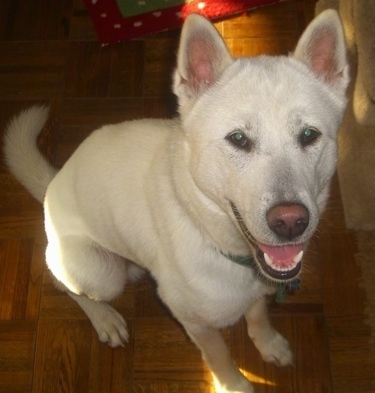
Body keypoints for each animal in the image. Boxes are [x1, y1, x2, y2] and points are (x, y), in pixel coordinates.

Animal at [4, 9, 350, 392]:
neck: (213, 235)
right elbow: (219, 355)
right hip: (100, 273)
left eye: (309, 135)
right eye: (238, 139)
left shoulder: (259, 288)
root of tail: (52, 184)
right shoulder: (194, 321)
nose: (290, 222)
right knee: (64, 284)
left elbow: (258, 315)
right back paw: (105, 319)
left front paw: (269, 344)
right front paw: (233, 384)